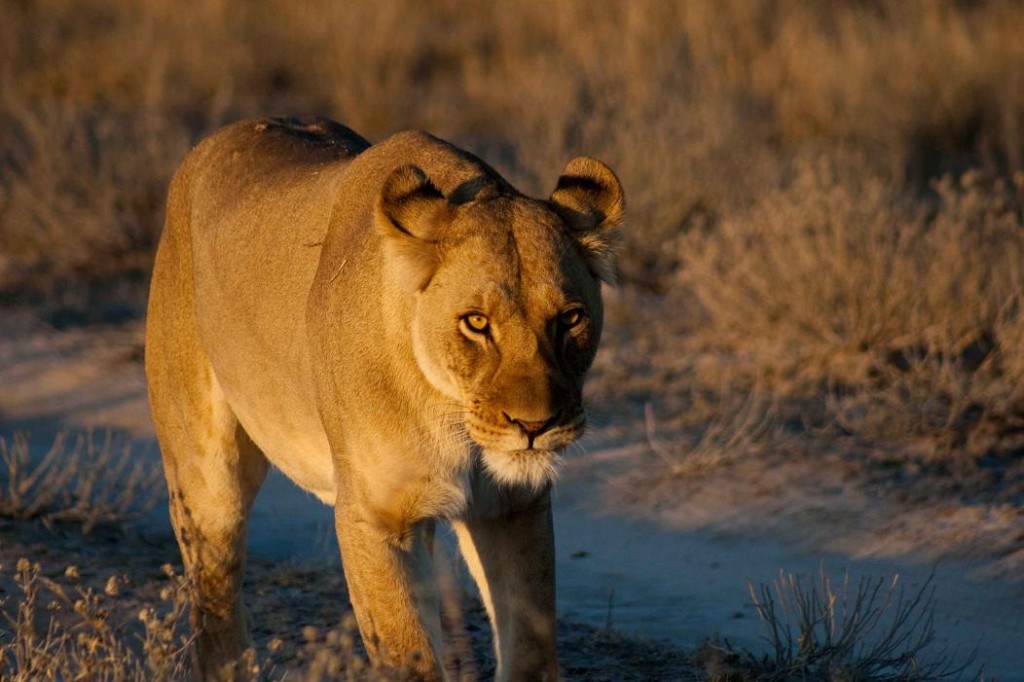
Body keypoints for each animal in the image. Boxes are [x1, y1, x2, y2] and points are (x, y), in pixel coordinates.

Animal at [145, 117, 623, 680]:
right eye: (476, 322)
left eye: (570, 318)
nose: (535, 426)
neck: (450, 413)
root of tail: (215, 139)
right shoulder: (372, 519)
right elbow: (409, 657)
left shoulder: (512, 507)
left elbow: (529, 648)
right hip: (204, 479)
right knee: (215, 603)